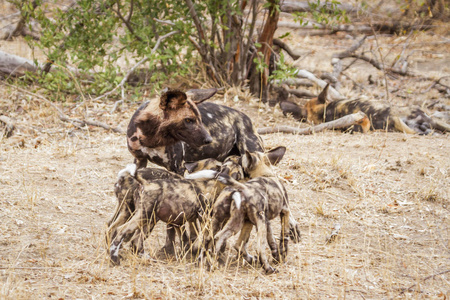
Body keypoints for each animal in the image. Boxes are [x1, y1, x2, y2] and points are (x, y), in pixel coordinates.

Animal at [108, 158, 246, 264]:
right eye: (241, 173)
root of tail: (143, 183)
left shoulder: (180, 221)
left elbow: (187, 239)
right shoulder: (205, 219)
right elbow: (204, 239)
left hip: (144, 217)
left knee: (128, 236)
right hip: (143, 216)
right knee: (121, 231)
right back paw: (115, 258)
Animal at [127, 89, 264, 175]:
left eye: (200, 119)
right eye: (188, 120)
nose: (209, 140)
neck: (151, 139)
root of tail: (246, 118)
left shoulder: (177, 168)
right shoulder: (139, 161)